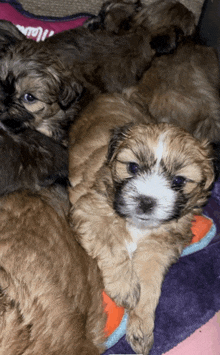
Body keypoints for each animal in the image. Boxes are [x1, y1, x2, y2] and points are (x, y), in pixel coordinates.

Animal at [68, 93, 214, 354]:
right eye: (133, 167)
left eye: (179, 181)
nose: (147, 201)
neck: (139, 226)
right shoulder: (89, 210)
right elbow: (112, 245)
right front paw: (125, 287)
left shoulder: (159, 247)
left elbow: (149, 283)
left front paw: (141, 325)